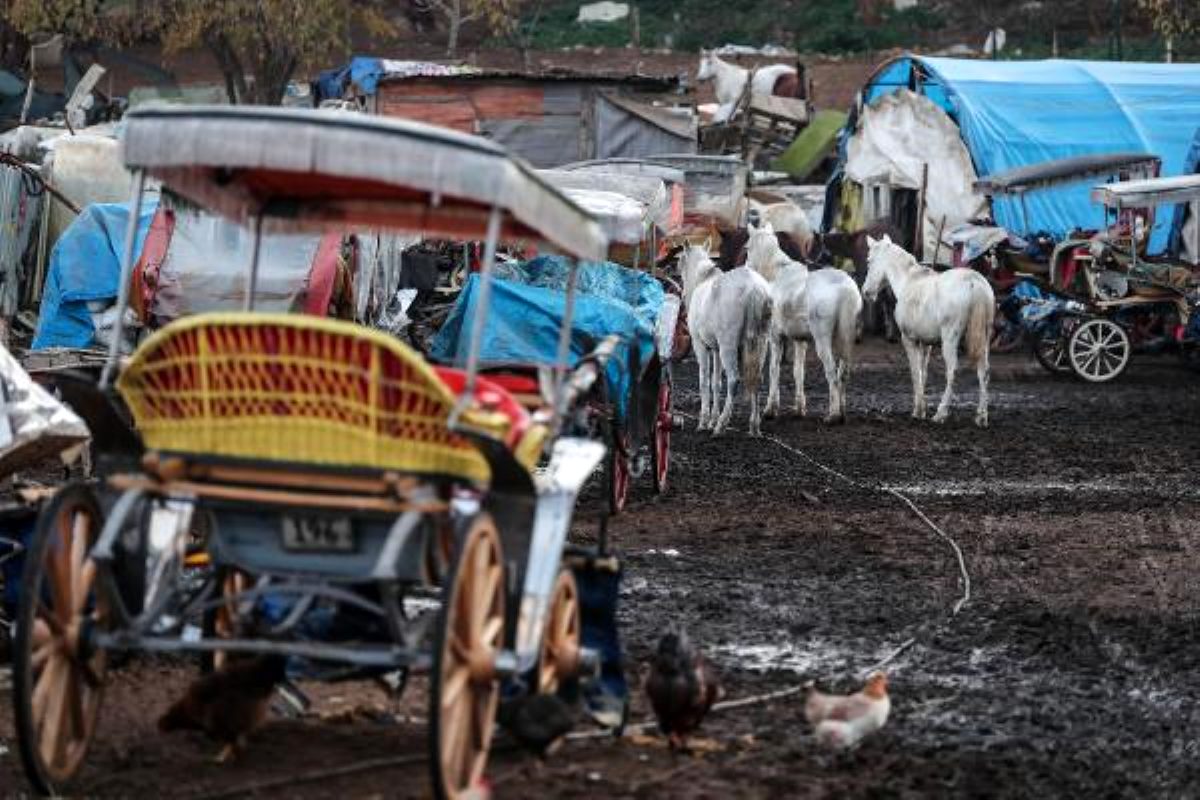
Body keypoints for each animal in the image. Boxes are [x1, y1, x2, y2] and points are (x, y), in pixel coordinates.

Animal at [681, 247, 772, 434]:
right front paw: (712, 419)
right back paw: (754, 425)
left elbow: (704, 381)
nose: (683, 293)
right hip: (761, 343)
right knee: (756, 378)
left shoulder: (700, 345)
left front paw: (705, 421)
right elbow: (716, 383)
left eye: (681, 263)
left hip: (728, 346)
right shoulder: (716, 350)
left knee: (734, 380)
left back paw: (722, 424)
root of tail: (754, 288)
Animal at [744, 221, 859, 422]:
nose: (746, 268)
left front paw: (770, 409)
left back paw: (833, 415)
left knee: (831, 373)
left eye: (747, 247)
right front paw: (799, 409)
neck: (776, 275)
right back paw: (842, 412)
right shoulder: (800, 341)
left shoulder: (775, 337)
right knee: (843, 373)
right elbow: (798, 372)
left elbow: (774, 370)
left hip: (822, 341)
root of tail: (846, 289)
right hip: (846, 337)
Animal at [864, 235, 993, 429]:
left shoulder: (909, 340)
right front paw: (922, 408)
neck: (909, 282)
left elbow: (915, 372)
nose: (865, 291)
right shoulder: (926, 344)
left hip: (950, 339)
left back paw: (941, 414)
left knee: (952, 371)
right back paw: (981, 417)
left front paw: (918, 411)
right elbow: (922, 372)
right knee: (983, 371)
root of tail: (973, 281)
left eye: (869, 261)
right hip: (984, 339)